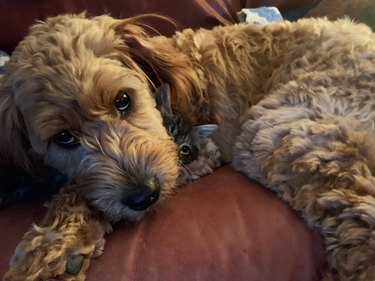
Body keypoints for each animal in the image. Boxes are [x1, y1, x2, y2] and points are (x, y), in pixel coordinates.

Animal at [0, 13, 375, 280]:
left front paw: (51, 244)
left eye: (123, 100)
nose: (144, 196)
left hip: (278, 131)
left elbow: (77, 191)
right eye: (63, 137)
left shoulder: (192, 157)